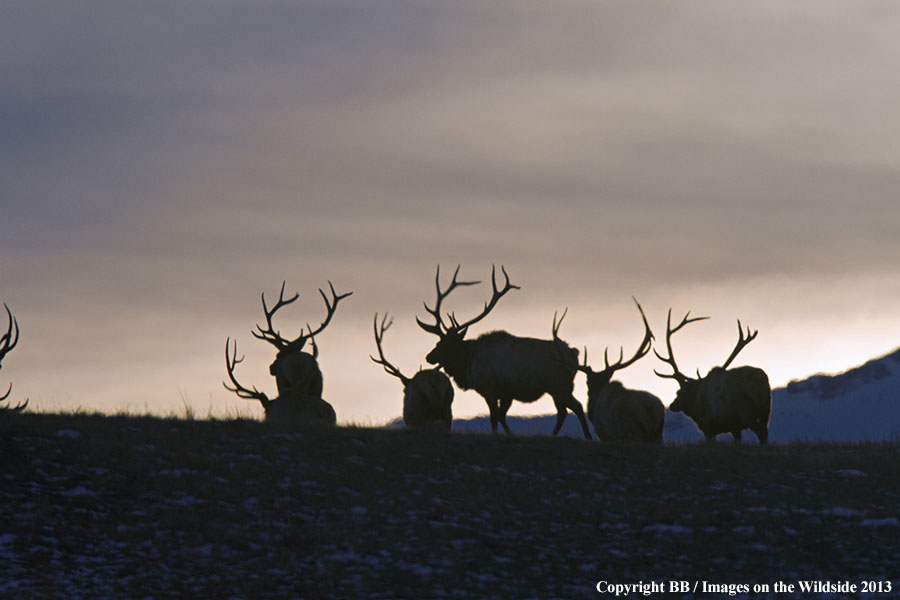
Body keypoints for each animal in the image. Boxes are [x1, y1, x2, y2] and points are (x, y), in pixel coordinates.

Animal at [416, 265, 591, 439]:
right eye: (438, 342)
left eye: (444, 343)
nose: (429, 356)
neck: (468, 363)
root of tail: (574, 354)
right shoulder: (506, 394)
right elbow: (501, 416)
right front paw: (510, 433)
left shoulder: (488, 388)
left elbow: (494, 417)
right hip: (561, 387)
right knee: (571, 409)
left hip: (558, 385)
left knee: (570, 408)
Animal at [653, 309, 771, 444]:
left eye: (678, 392)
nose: (672, 405)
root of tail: (759, 382)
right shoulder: (734, 427)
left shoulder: (708, 426)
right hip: (765, 411)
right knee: (765, 431)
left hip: (746, 412)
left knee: (761, 432)